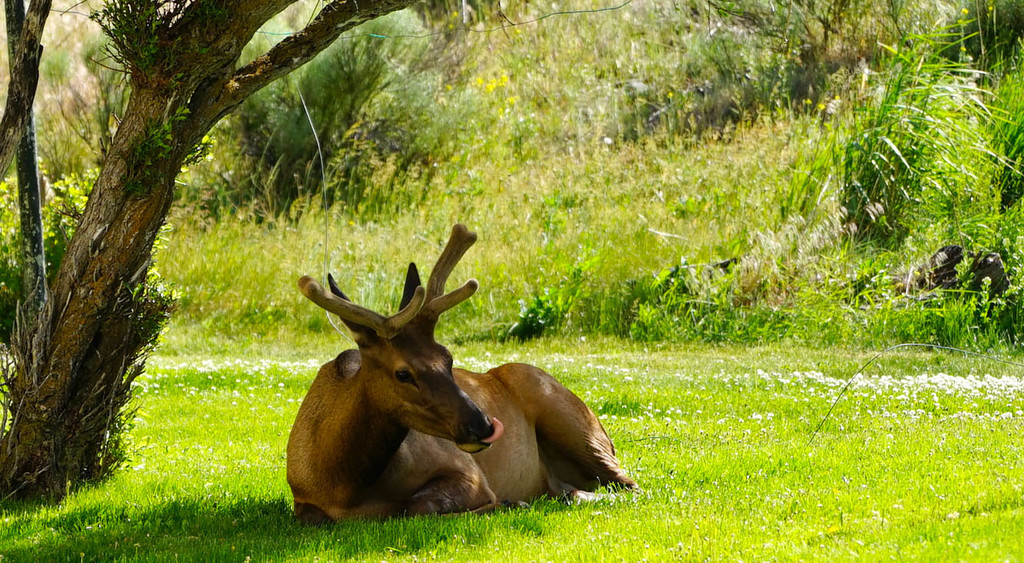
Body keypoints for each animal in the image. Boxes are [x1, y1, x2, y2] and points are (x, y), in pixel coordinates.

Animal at [288, 225, 634, 524]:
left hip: (575, 423)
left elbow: (419, 505)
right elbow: (314, 517)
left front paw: (507, 503)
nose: (483, 425)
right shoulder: (302, 502)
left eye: (448, 357)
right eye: (402, 373)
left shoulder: (468, 471)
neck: (344, 486)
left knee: (628, 483)